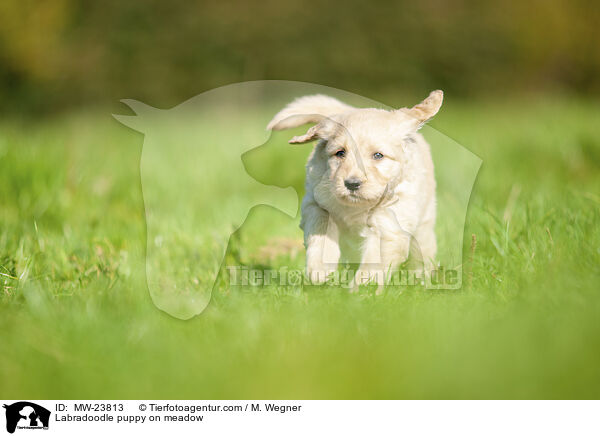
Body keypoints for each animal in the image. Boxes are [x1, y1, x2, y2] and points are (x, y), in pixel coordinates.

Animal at [266, 91, 440, 290]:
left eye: (378, 155)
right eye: (340, 153)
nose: (352, 184)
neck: (357, 206)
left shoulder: (390, 222)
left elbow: (373, 262)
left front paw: (361, 291)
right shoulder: (315, 203)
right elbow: (321, 228)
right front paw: (319, 269)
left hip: (424, 224)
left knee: (422, 253)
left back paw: (420, 280)